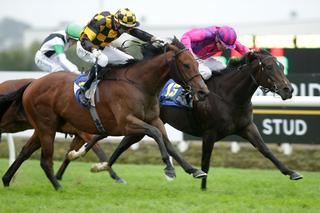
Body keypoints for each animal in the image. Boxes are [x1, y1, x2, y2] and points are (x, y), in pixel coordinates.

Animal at [1, 38, 210, 190]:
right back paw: (58, 187)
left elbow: (167, 142)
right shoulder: (126, 123)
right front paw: (169, 169)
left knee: (25, 152)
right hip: (46, 126)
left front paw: (193, 169)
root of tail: (32, 84)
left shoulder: (153, 119)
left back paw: (7, 180)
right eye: (186, 65)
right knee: (45, 160)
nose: (203, 92)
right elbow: (156, 135)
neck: (139, 85)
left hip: (45, 126)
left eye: (196, 64)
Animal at [95, 49, 302, 190]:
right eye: (269, 67)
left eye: (281, 66)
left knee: (124, 143)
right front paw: (203, 187)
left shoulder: (246, 127)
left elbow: (266, 150)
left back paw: (104, 168)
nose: (288, 89)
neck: (228, 96)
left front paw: (292, 172)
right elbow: (206, 161)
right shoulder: (209, 133)